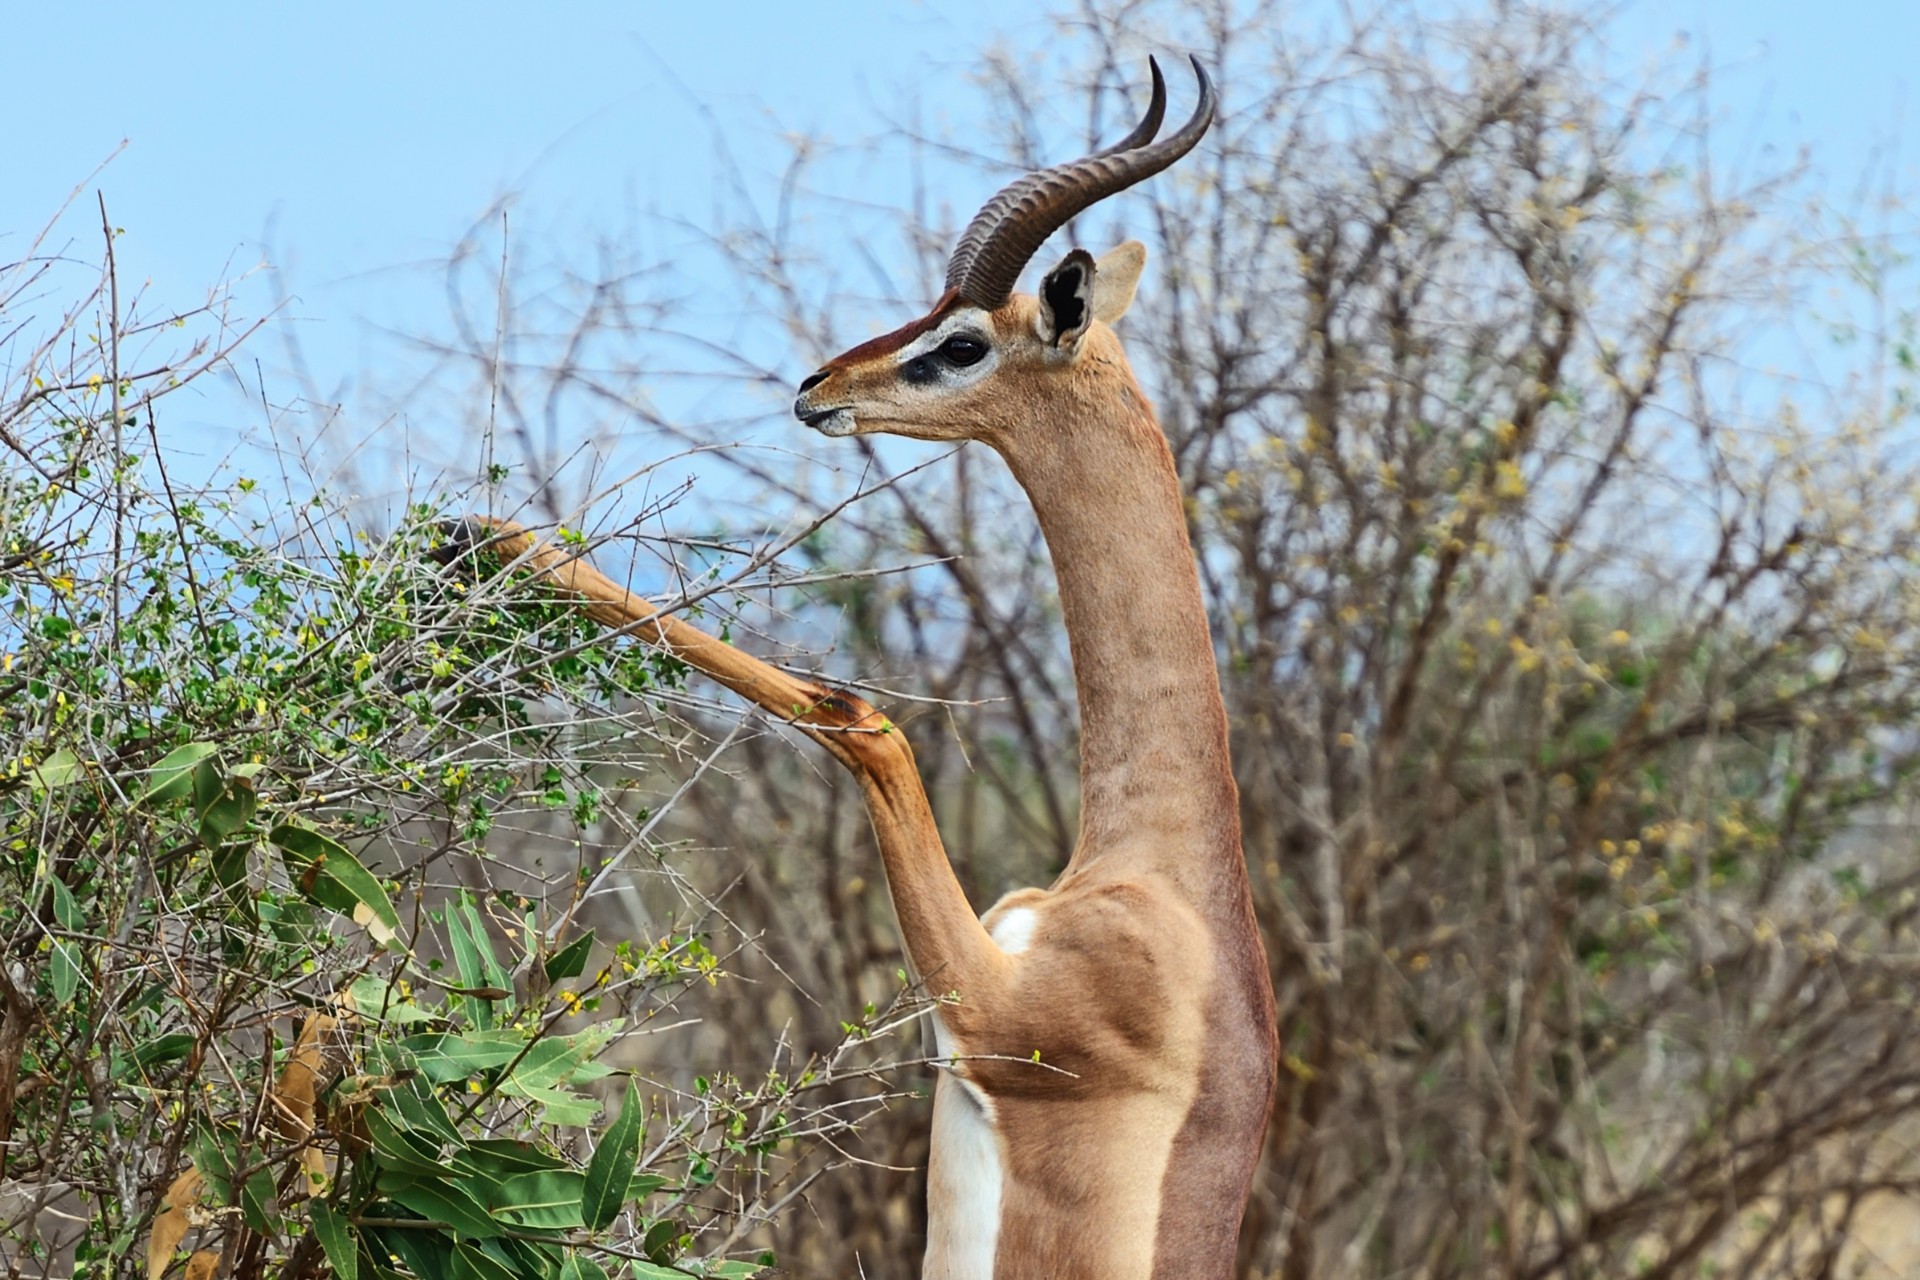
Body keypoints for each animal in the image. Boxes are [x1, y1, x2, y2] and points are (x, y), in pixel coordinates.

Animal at [461, 55, 1275, 1279]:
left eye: (964, 340)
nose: (819, 385)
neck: (1169, 888)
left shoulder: (991, 1012)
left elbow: (864, 722)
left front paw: (493, 537)